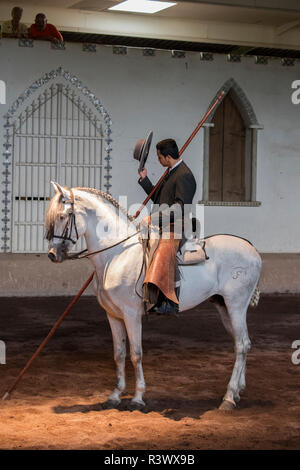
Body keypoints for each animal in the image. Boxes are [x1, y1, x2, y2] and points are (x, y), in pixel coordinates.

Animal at [45, 183, 262, 412]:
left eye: (63, 216)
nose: (52, 254)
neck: (116, 254)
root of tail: (252, 249)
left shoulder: (131, 315)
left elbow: (136, 354)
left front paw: (138, 397)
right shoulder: (113, 315)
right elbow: (119, 354)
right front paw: (115, 394)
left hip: (236, 305)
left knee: (241, 344)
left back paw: (228, 397)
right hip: (223, 306)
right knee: (242, 343)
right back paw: (237, 391)